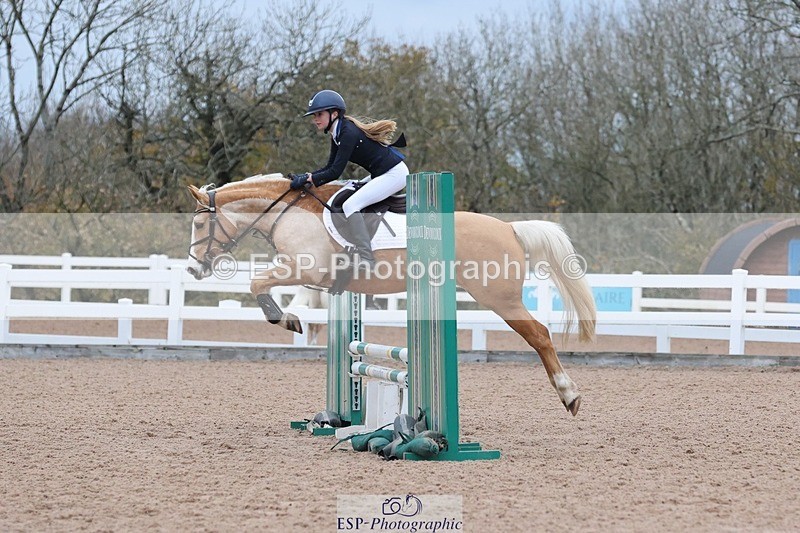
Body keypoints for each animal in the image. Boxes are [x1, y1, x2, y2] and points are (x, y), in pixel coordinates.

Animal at [185, 173, 596, 415]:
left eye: (200, 224)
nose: (192, 270)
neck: (290, 211)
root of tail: (509, 228)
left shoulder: (305, 269)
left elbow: (257, 284)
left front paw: (286, 320)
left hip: (501, 299)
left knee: (540, 335)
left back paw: (570, 395)